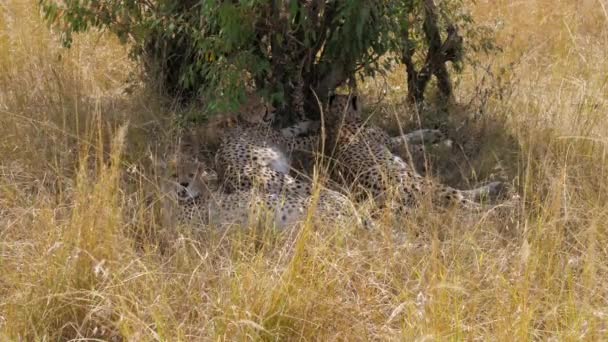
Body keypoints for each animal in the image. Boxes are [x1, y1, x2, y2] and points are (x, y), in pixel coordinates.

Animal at [320, 93, 506, 208]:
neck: (339, 118)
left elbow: (412, 135)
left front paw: (434, 134)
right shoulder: (392, 144)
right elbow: (414, 142)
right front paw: (442, 142)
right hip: (429, 184)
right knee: (467, 202)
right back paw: (501, 200)